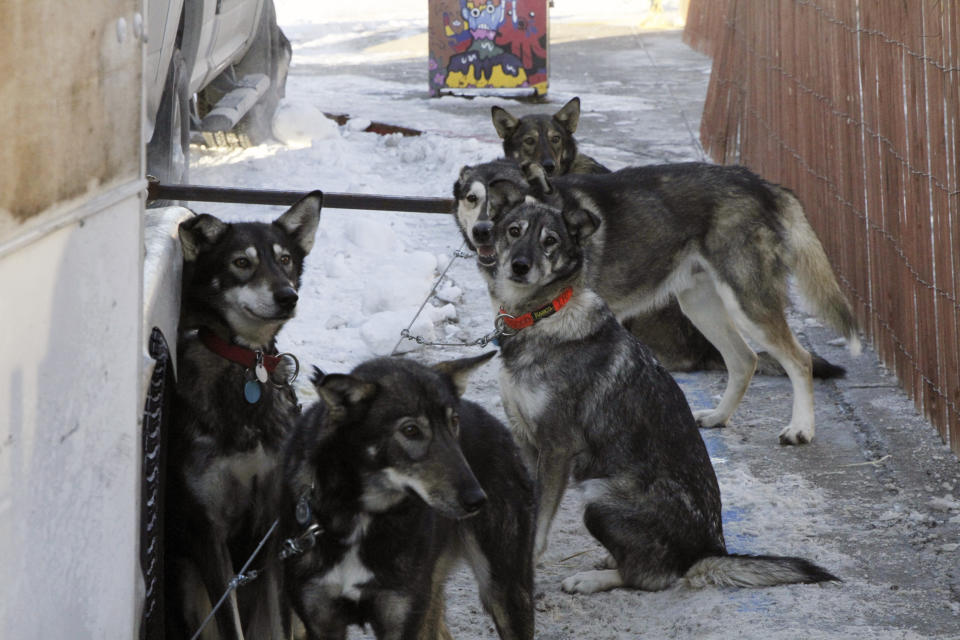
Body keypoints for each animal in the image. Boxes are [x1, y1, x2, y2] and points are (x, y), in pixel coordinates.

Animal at [168, 194, 322, 640]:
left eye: (285, 259)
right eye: (241, 262)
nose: (288, 296)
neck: (244, 364)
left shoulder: (277, 529)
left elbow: (279, 626)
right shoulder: (209, 532)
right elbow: (230, 625)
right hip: (187, 585)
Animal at [278, 352, 536, 636]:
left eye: (453, 422)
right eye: (410, 430)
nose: (477, 499)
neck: (363, 516)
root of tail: (498, 426)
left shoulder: (402, 617)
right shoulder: (321, 621)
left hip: (505, 591)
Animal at [454, 159, 860, 444]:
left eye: (510, 201)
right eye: (472, 199)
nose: (483, 231)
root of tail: (762, 185)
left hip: (748, 304)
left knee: (799, 360)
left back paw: (801, 429)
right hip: (700, 306)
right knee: (745, 360)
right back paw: (718, 417)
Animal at [484, 200, 836, 596]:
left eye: (550, 242)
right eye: (514, 231)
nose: (520, 266)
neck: (542, 316)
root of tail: (708, 550)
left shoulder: (556, 448)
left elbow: (540, 521)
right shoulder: (527, 442)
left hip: (598, 498)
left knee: (651, 575)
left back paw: (592, 578)